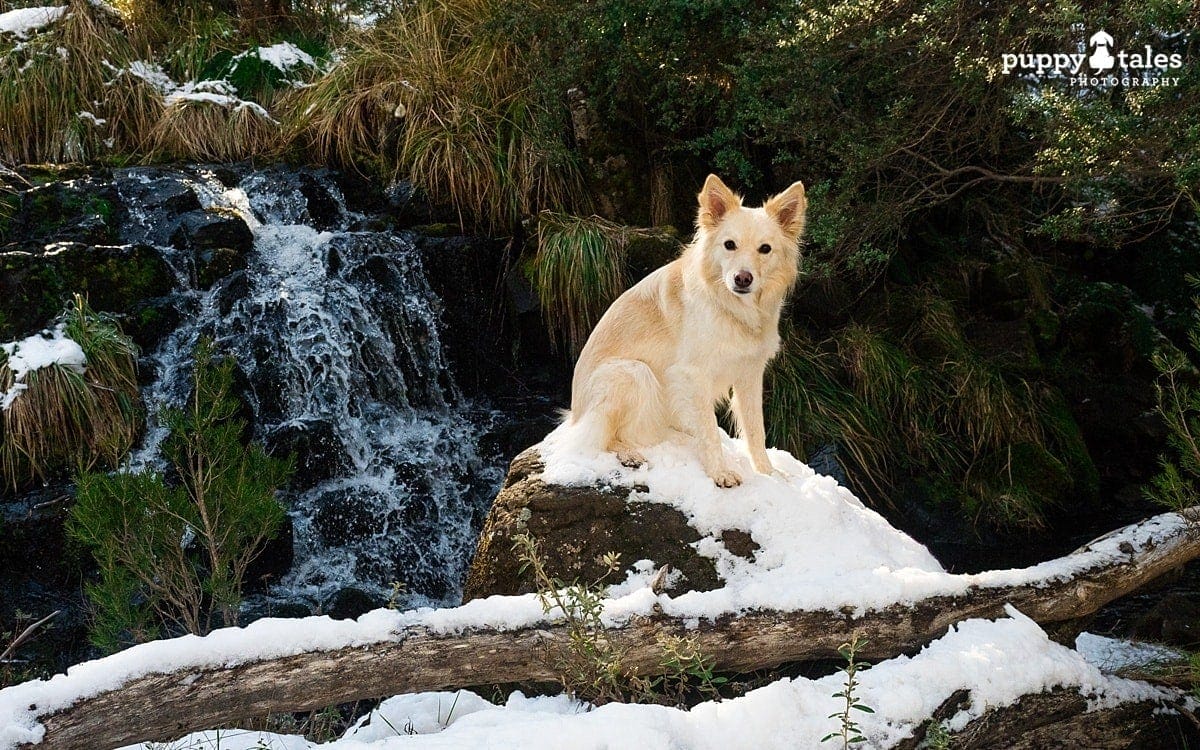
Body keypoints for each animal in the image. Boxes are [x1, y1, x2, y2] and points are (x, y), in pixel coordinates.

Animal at [566, 172, 811, 484]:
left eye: (765, 249)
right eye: (729, 245)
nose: (743, 279)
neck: (730, 307)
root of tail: (573, 415)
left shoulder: (750, 374)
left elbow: (756, 430)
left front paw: (769, 473)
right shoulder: (693, 375)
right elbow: (709, 429)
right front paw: (719, 472)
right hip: (632, 372)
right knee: (602, 438)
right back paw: (630, 453)